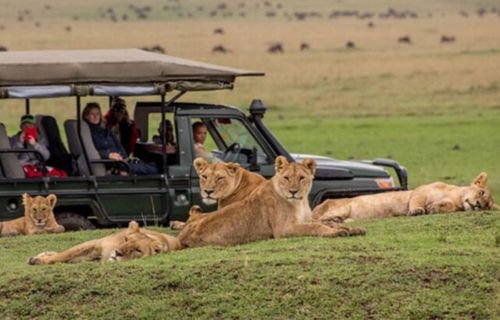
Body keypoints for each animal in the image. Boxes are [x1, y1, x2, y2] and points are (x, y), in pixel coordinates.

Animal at [28, 220, 181, 264]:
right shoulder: (97, 244)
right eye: (126, 239)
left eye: (137, 250)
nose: (117, 253)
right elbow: (64, 255)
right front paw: (39, 259)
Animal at [178, 156, 366, 248]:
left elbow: (326, 222)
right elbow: (316, 226)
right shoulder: (283, 230)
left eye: (301, 178)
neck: (300, 202)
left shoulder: (307, 218)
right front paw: (338, 232)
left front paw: (352, 229)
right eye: (286, 178)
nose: (293, 191)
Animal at [312, 172, 496, 222]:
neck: (457, 197)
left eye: (487, 204)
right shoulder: (420, 191)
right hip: (344, 207)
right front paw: (417, 211)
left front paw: (434, 208)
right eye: (481, 193)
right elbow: (416, 201)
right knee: (316, 220)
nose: (478, 204)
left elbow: (448, 207)